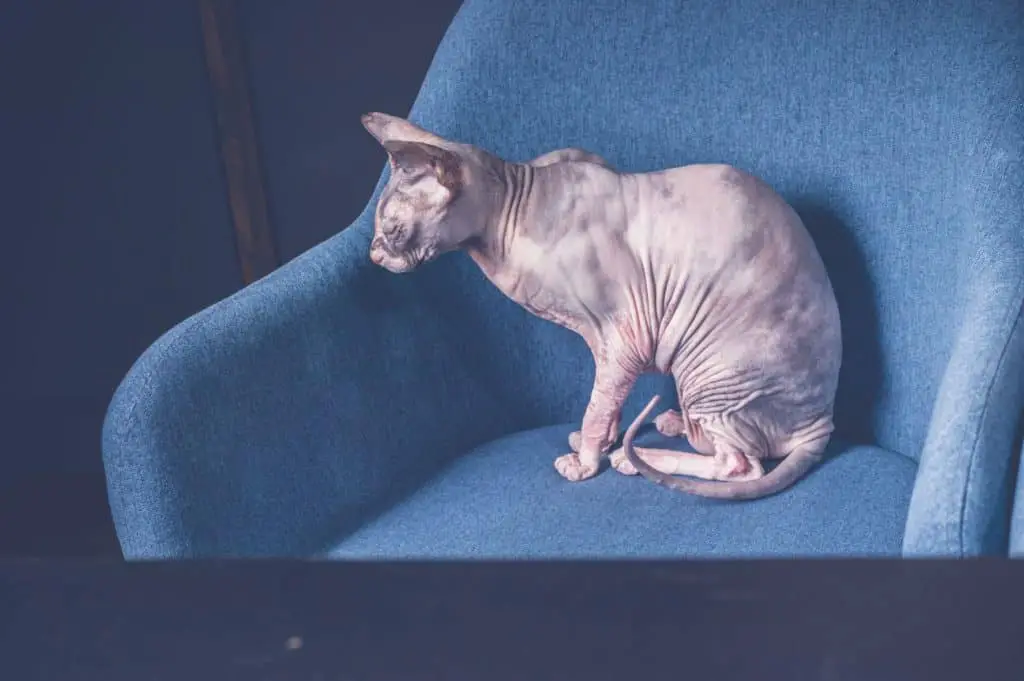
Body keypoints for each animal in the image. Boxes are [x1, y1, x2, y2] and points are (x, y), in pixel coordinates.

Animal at [360, 111, 839, 499]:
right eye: (378, 230)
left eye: (394, 230)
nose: (374, 255)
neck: (514, 206)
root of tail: (822, 424)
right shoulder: (601, 336)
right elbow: (605, 399)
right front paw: (605, 439)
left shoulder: (627, 331)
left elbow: (598, 402)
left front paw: (589, 461)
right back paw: (675, 424)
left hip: (711, 370)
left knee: (740, 463)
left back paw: (637, 458)